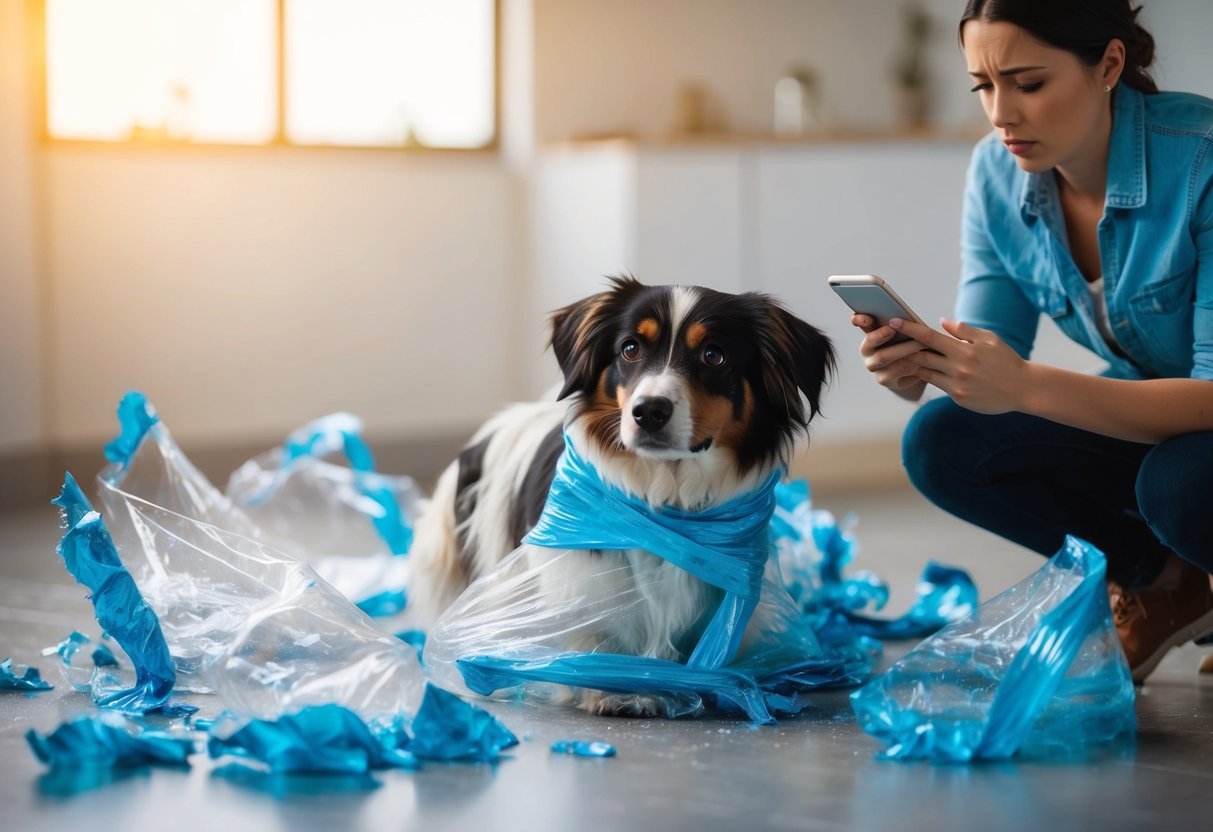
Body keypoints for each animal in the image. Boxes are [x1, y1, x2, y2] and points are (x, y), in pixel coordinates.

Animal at [407, 275, 834, 717]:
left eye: (713, 356)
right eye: (630, 348)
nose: (649, 411)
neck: (666, 496)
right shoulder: (576, 587)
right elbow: (590, 637)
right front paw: (615, 688)